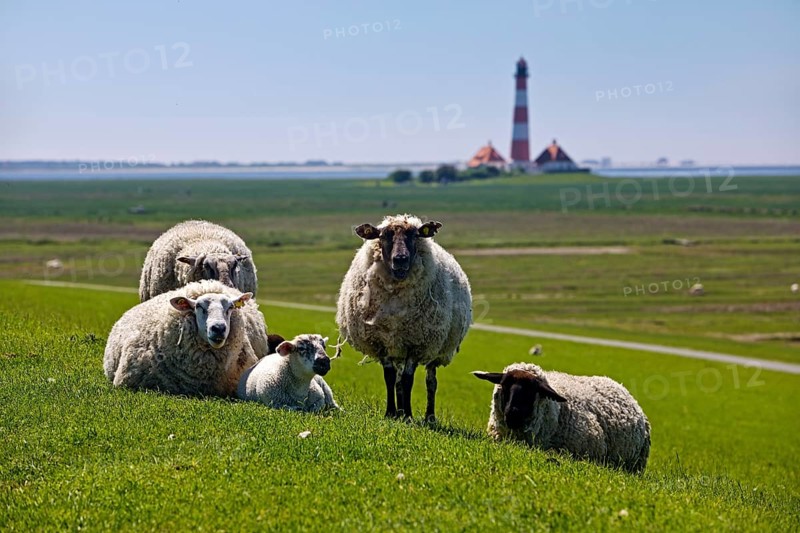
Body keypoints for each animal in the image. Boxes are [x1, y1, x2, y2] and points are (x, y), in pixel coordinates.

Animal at [336, 214, 472, 421]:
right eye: (383, 235)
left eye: (415, 235)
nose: (400, 259)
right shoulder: (381, 342)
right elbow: (390, 377)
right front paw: (391, 413)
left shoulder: (416, 343)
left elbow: (409, 380)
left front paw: (408, 415)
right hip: (397, 347)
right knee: (398, 381)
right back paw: (399, 412)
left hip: (436, 348)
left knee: (431, 381)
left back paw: (429, 417)